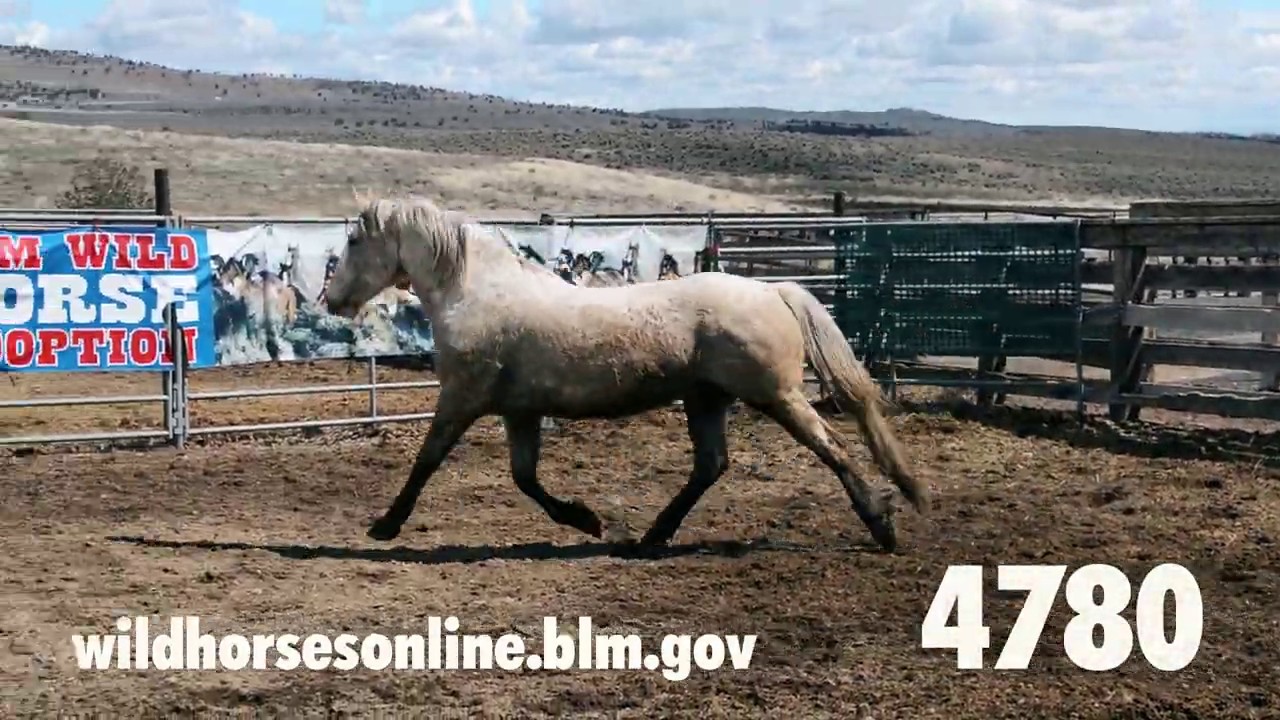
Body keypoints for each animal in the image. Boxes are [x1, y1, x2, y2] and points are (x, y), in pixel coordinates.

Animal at [323, 192, 927, 553]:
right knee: (711, 465)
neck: (475, 292)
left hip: (776, 395)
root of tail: (773, 290)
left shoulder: (463, 397)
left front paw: (384, 525)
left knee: (833, 448)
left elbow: (427, 459)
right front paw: (587, 520)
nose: (333, 299)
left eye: (353, 240)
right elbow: (525, 478)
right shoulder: (520, 412)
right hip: (706, 399)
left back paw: (884, 526)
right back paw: (652, 536)